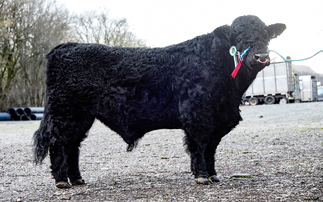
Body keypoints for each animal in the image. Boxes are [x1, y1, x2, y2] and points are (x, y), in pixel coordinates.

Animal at [33, 14, 286, 188]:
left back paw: (76, 179)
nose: (261, 57)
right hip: (64, 112)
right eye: (240, 38)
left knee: (72, 145)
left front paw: (213, 174)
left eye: (266, 36)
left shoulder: (219, 119)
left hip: (82, 116)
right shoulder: (198, 116)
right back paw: (61, 181)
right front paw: (202, 176)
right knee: (58, 143)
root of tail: (66, 46)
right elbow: (200, 145)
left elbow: (212, 148)